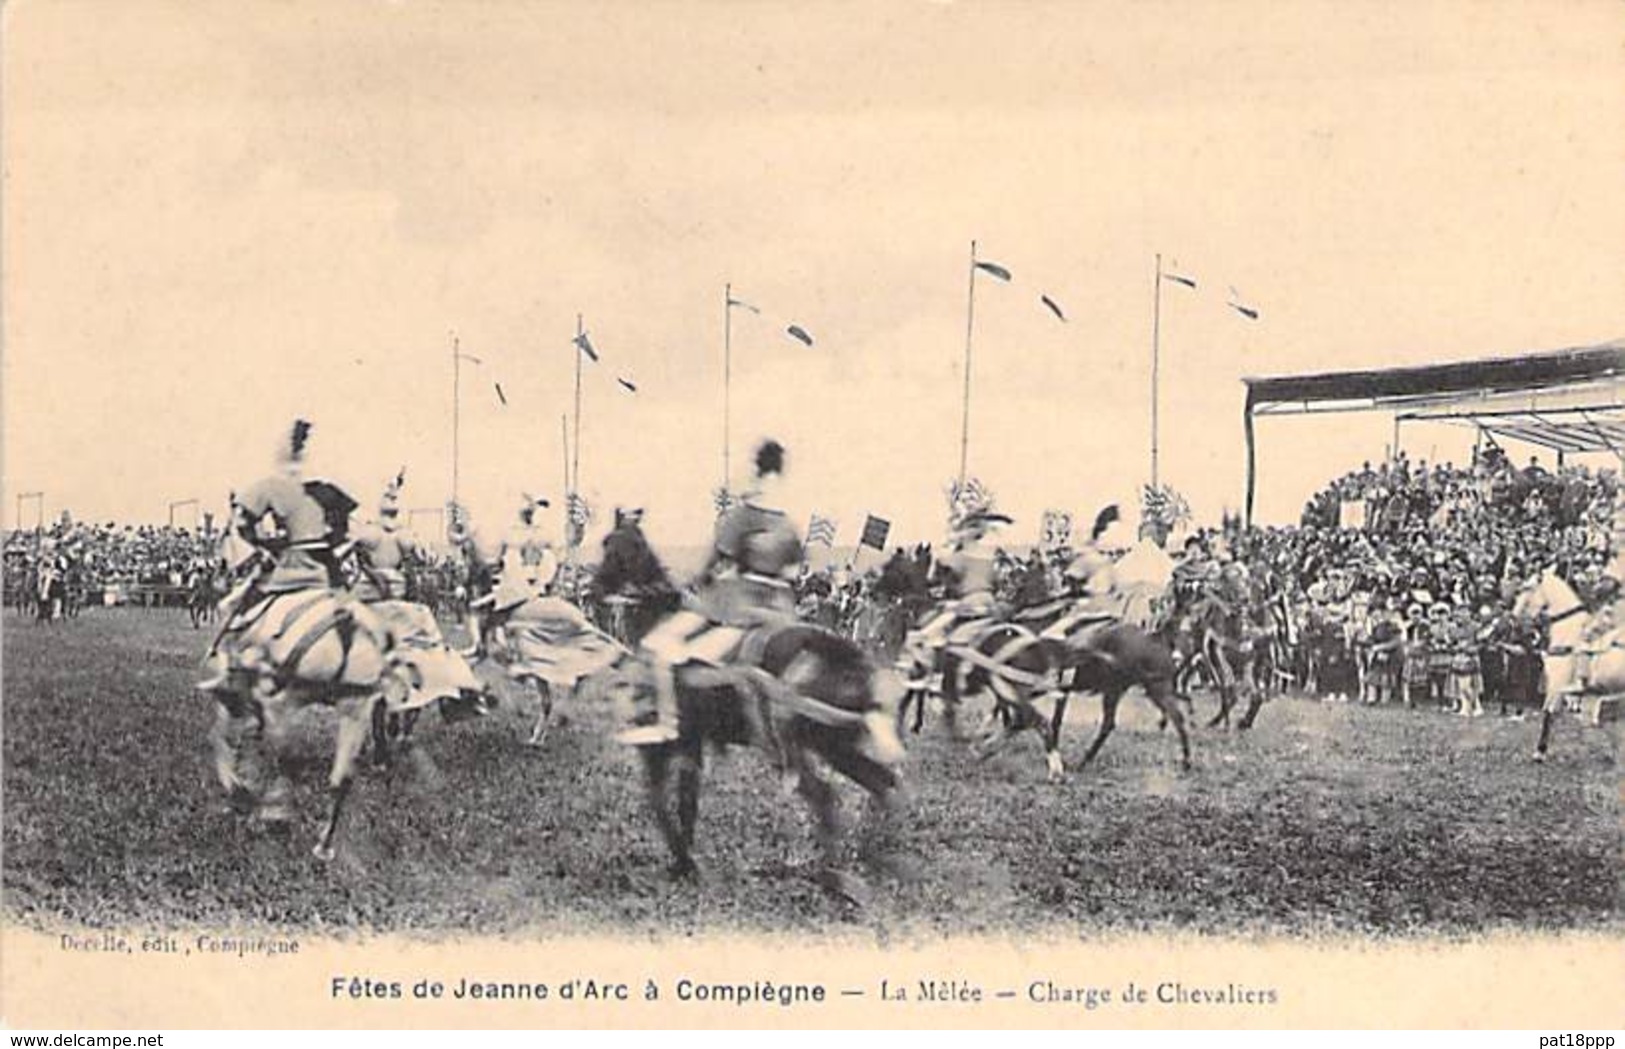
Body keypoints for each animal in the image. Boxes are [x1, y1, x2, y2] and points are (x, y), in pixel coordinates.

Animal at [1508, 571, 1625, 759]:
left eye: (1527, 588)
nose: (1513, 619)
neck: (1568, 629)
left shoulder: (1556, 685)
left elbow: (1548, 712)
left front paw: (1540, 751)